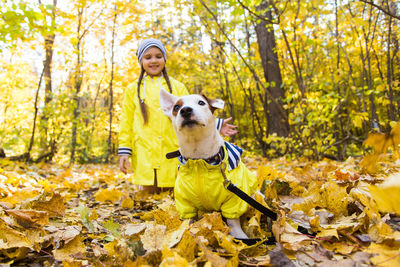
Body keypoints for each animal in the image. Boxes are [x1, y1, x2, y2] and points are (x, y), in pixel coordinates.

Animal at [159, 89, 256, 240]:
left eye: (201, 103)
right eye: (176, 107)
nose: (185, 110)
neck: (199, 159)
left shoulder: (234, 198)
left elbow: (233, 220)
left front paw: (239, 235)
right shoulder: (184, 201)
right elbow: (188, 219)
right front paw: (185, 230)